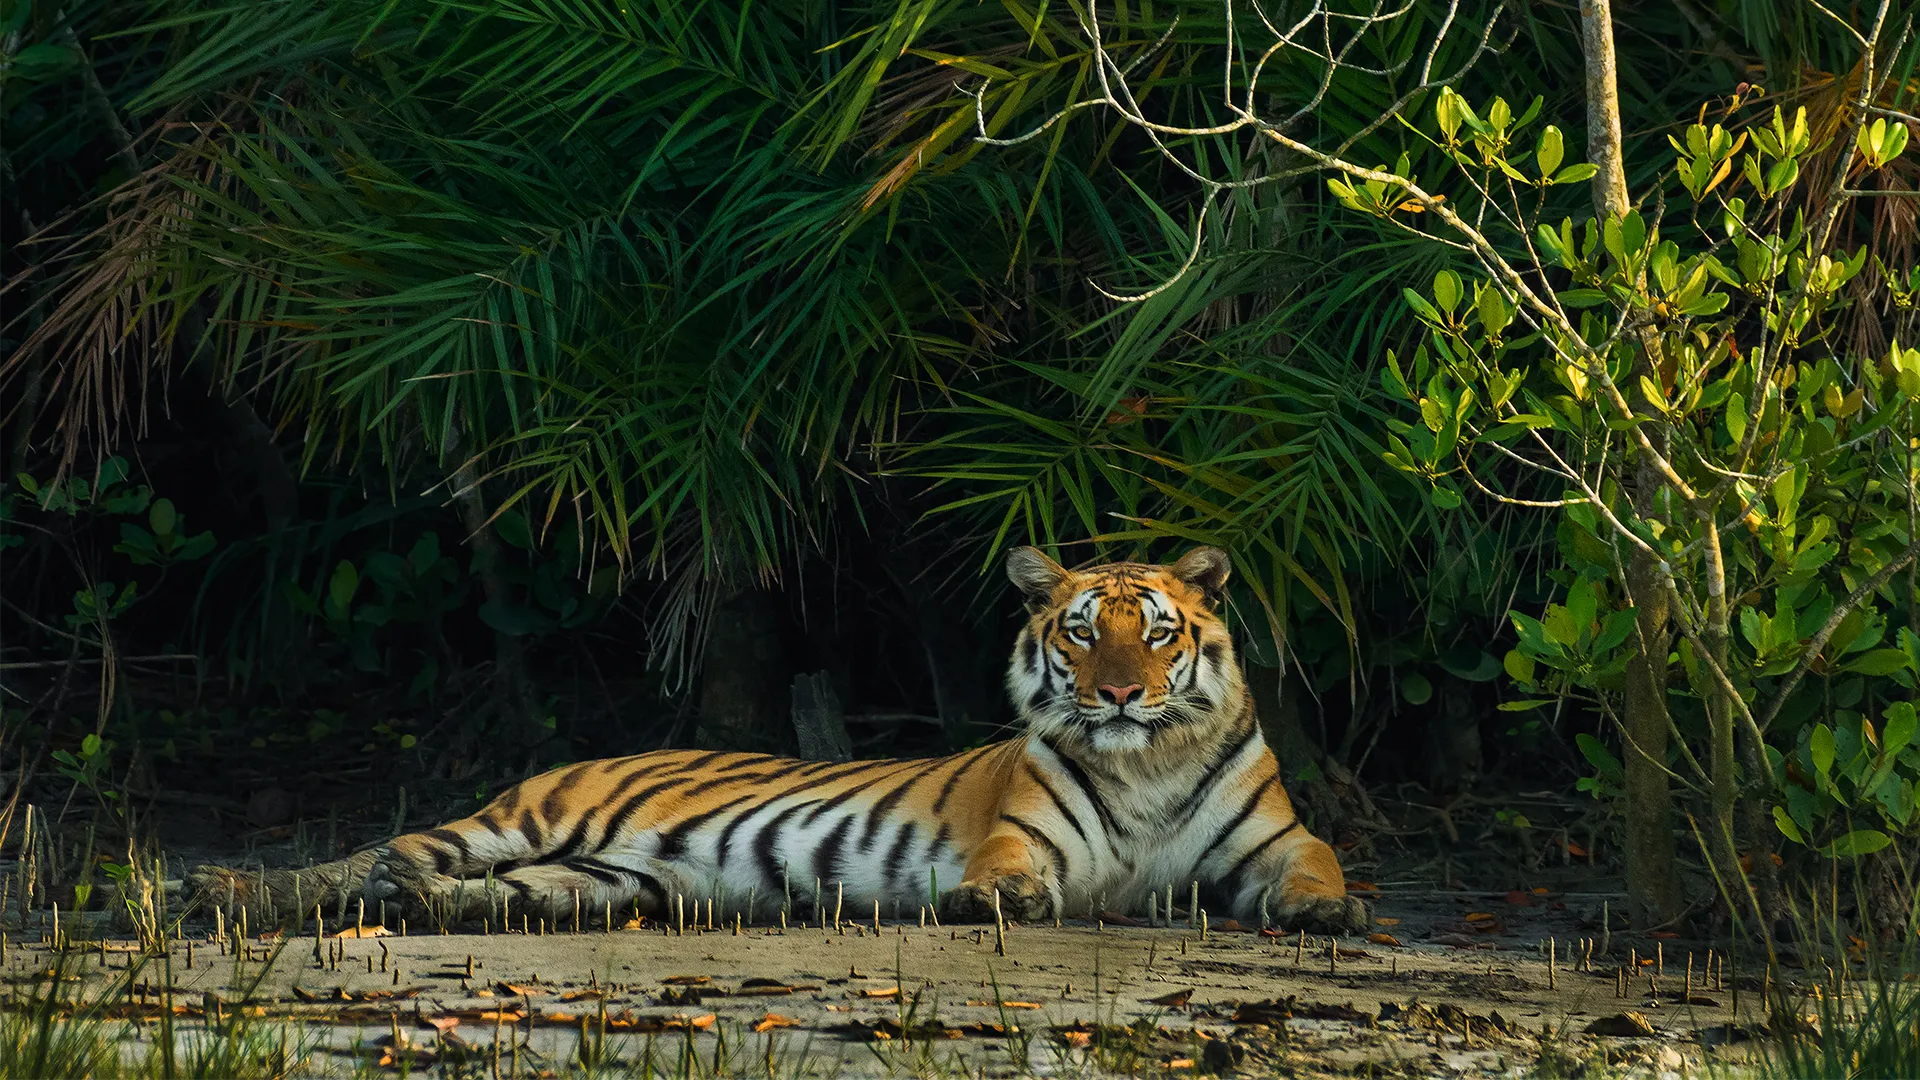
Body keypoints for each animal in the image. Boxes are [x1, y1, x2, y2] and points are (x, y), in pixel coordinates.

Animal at [191, 541, 1367, 930]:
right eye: (1081, 633)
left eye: (1156, 632)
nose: (1119, 694)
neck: (1145, 764)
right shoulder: (1026, 831)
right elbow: (1005, 866)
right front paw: (999, 902)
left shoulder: (1272, 840)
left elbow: (1321, 865)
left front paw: (1330, 914)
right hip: (521, 820)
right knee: (371, 854)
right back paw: (226, 891)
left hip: (612, 880)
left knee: (470, 891)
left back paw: (425, 908)